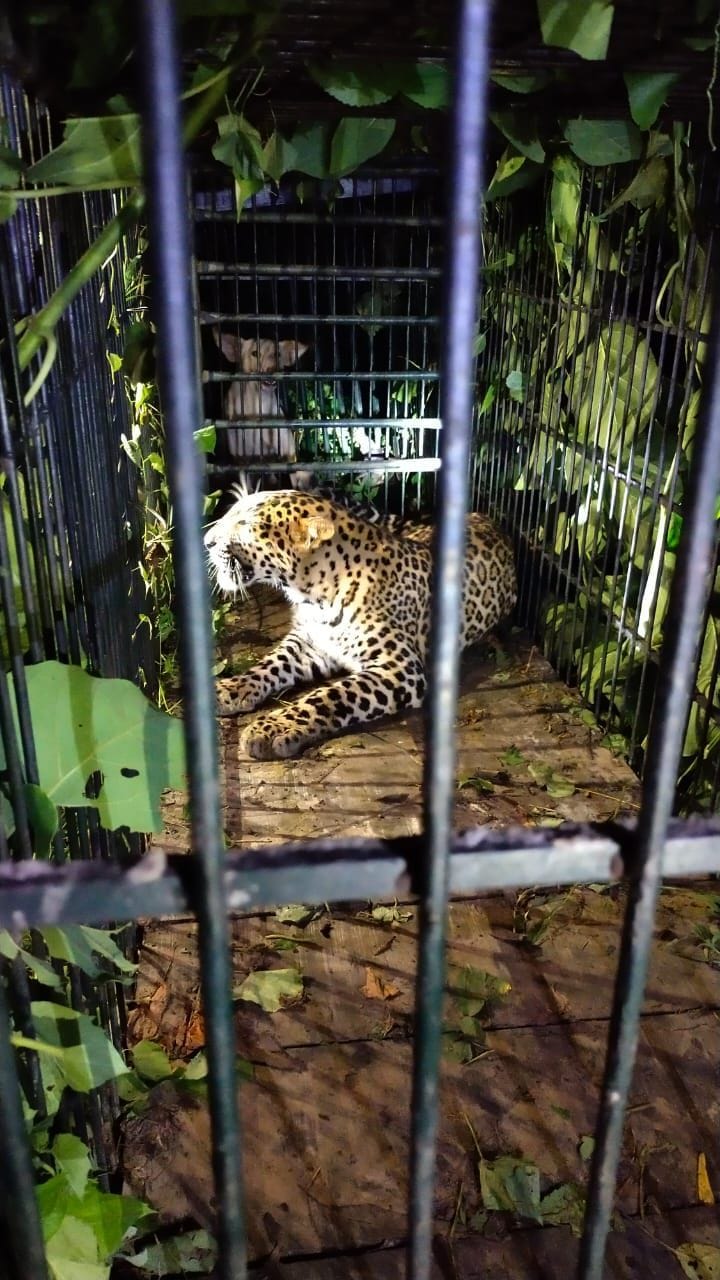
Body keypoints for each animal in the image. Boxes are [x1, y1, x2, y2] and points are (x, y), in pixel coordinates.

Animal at [205, 486, 517, 760]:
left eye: (245, 523)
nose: (207, 541)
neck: (313, 595)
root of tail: (482, 516)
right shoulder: (309, 644)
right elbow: (267, 666)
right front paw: (226, 689)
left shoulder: (400, 668)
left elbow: (329, 695)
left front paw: (273, 728)